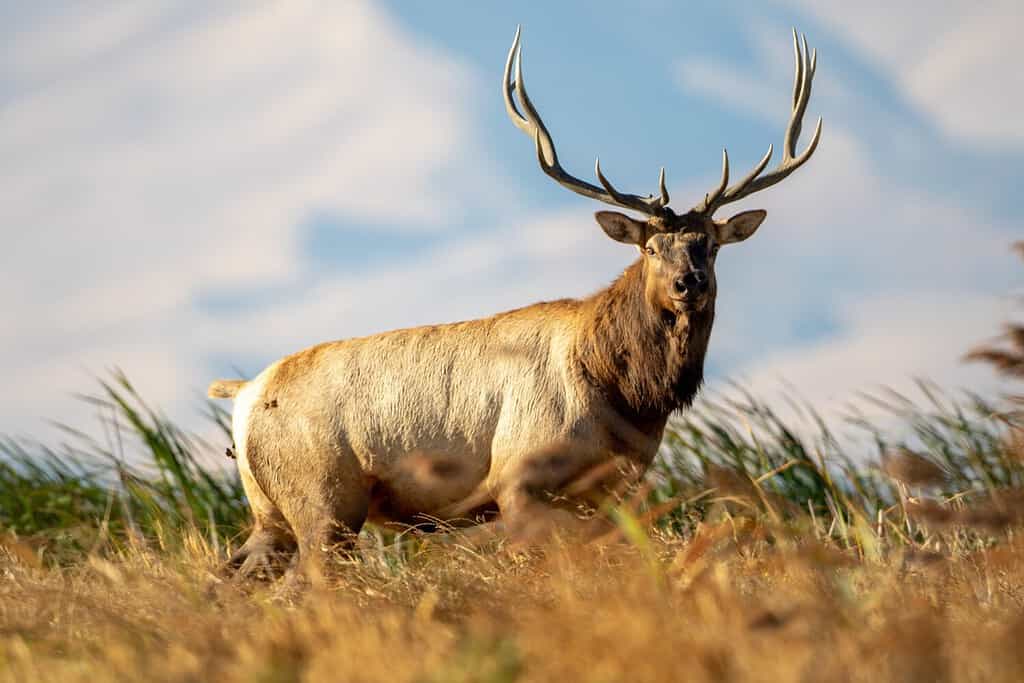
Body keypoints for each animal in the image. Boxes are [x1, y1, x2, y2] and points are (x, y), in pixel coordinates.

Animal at [209, 25, 823, 573]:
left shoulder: (610, 494)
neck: (622, 394)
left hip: (271, 512)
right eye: (651, 247)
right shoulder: (517, 479)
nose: (687, 283)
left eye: (710, 245)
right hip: (323, 499)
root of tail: (244, 396)